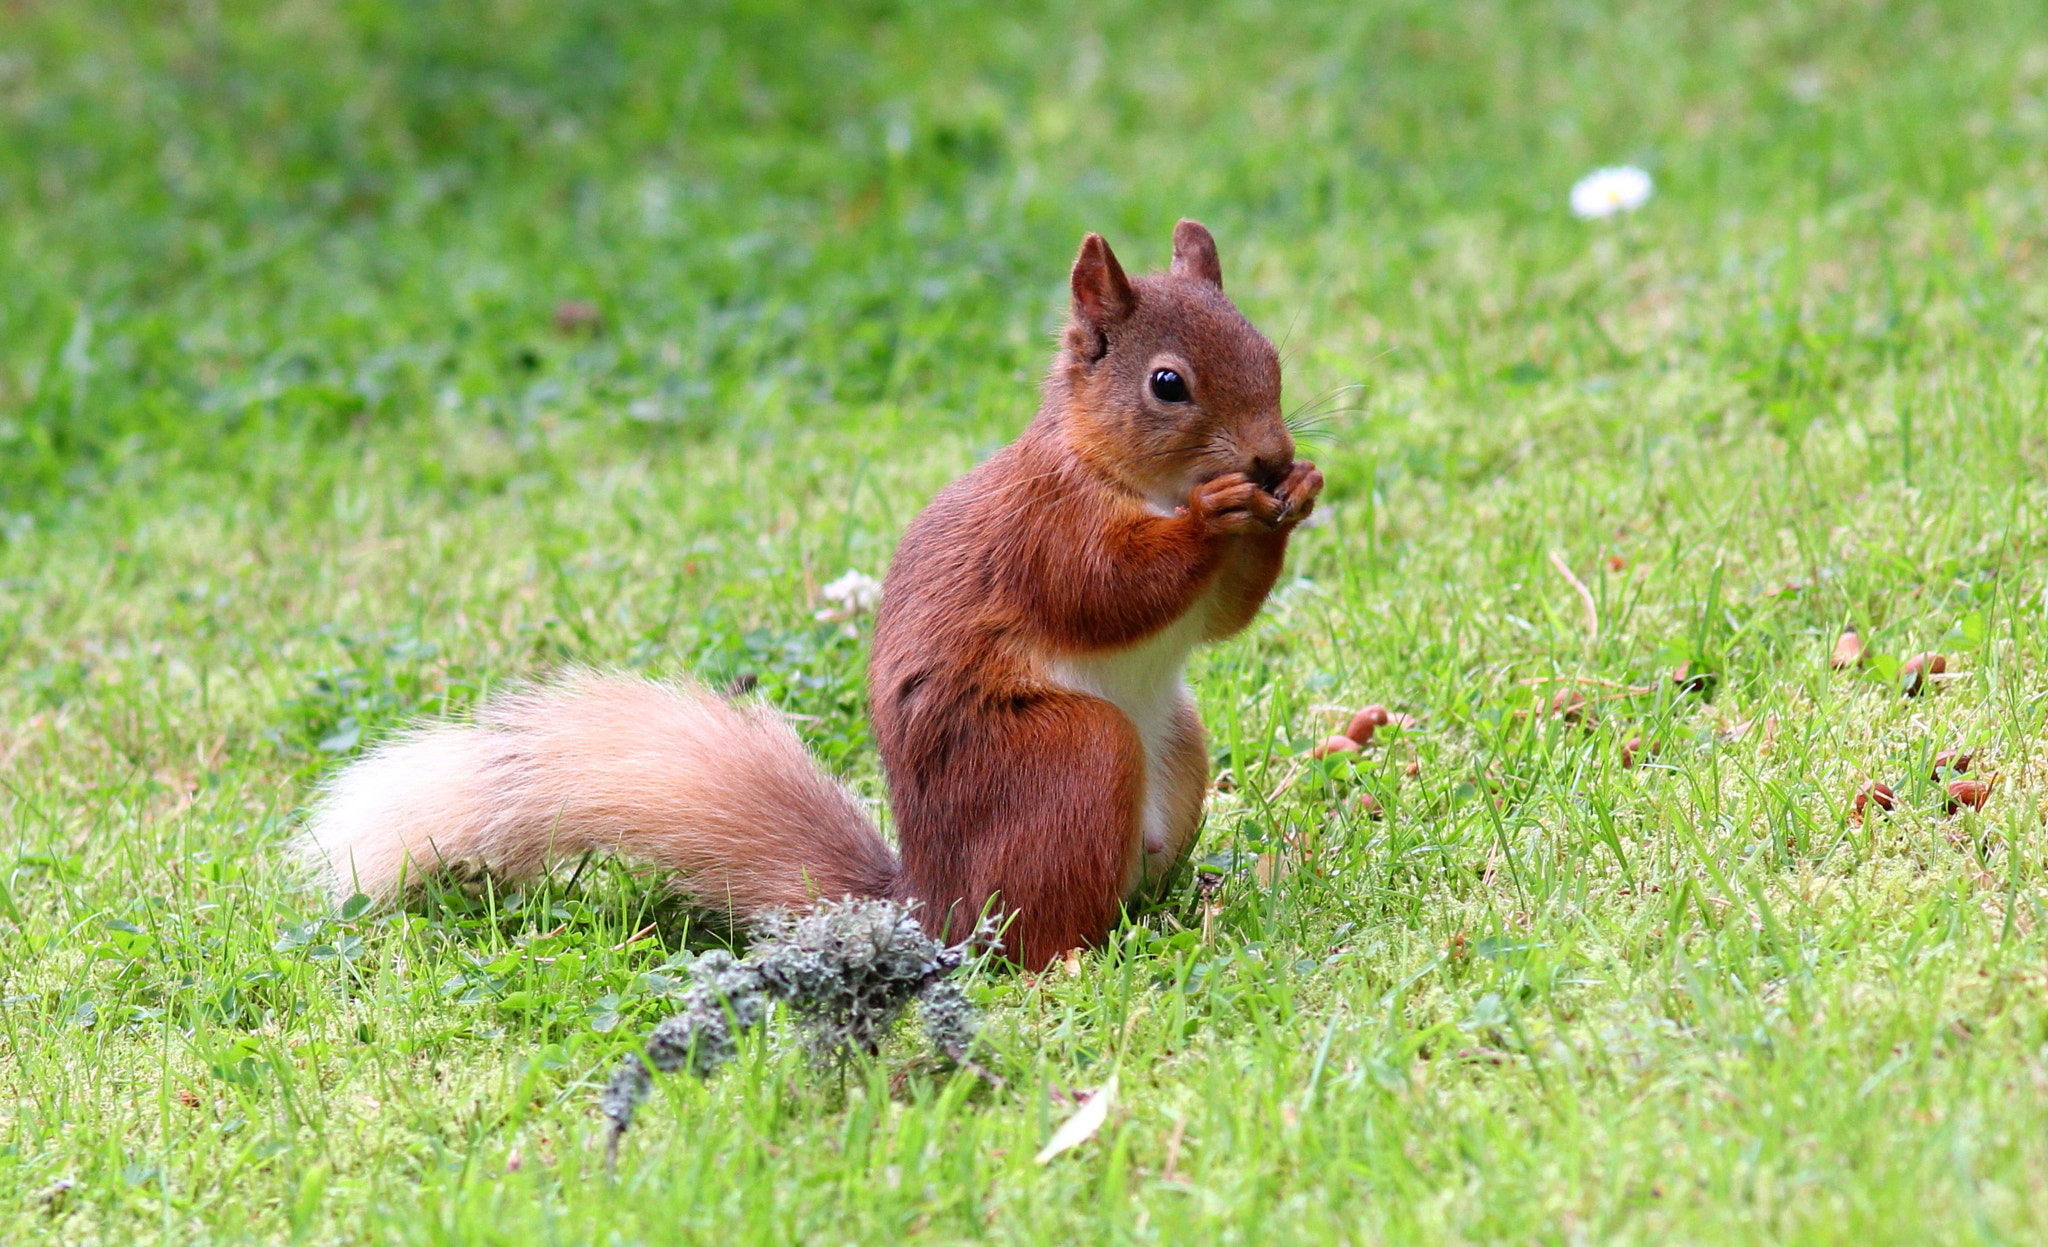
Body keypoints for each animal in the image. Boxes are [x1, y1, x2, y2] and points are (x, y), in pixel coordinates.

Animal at [302, 219, 1322, 969]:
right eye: (1167, 383)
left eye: (1271, 356)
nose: (1271, 457)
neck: (1125, 477)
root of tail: (934, 906)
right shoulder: (1044, 533)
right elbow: (1108, 591)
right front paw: (1216, 516)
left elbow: (1223, 616)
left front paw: (1299, 494)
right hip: (1067, 756)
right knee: (1032, 933)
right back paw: (1077, 955)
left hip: (1176, 744)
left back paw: (1199, 897)